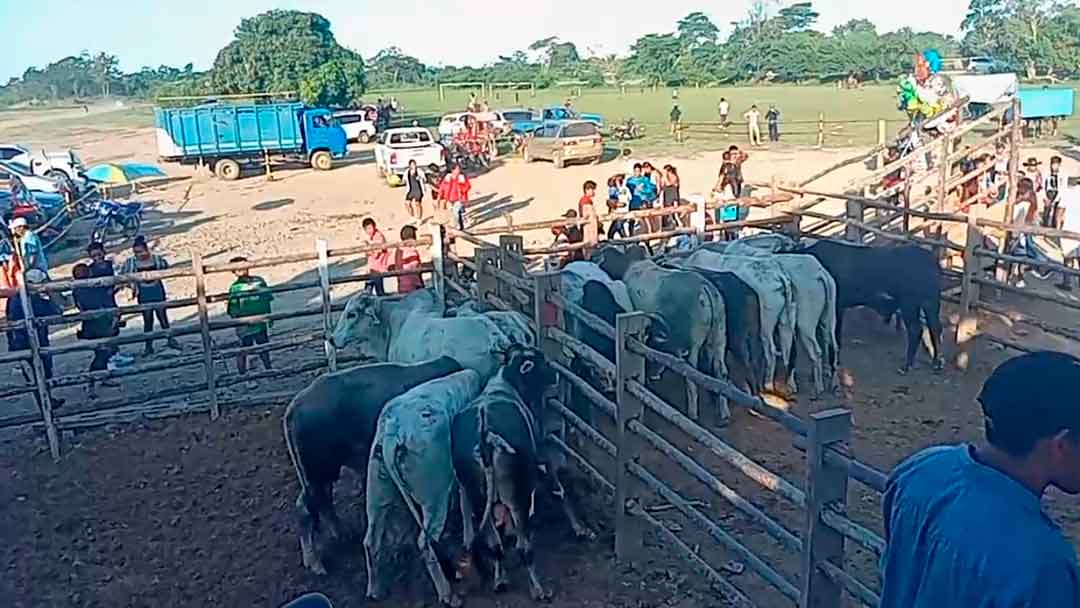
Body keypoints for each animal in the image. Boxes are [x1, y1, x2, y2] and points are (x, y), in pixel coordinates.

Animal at [280, 356, 462, 574]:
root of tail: (292, 409)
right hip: (317, 470)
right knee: (306, 508)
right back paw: (318, 566)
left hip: (320, 472)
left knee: (321, 502)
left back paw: (343, 535)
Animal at [365, 369, 483, 604]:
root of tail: (393, 434)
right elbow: (465, 500)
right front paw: (468, 539)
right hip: (434, 492)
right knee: (425, 542)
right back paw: (448, 595)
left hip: (377, 486)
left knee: (370, 539)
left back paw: (375, 591)